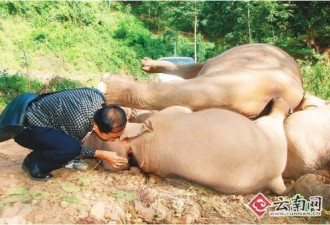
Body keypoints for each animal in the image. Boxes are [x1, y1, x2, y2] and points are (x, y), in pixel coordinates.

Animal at [84, 98, 288, 195]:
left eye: (95, 134)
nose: (84, 140)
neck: (138, 147)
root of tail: (275, 178)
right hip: (271, 135)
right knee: (275, 118)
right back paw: (280, 103)